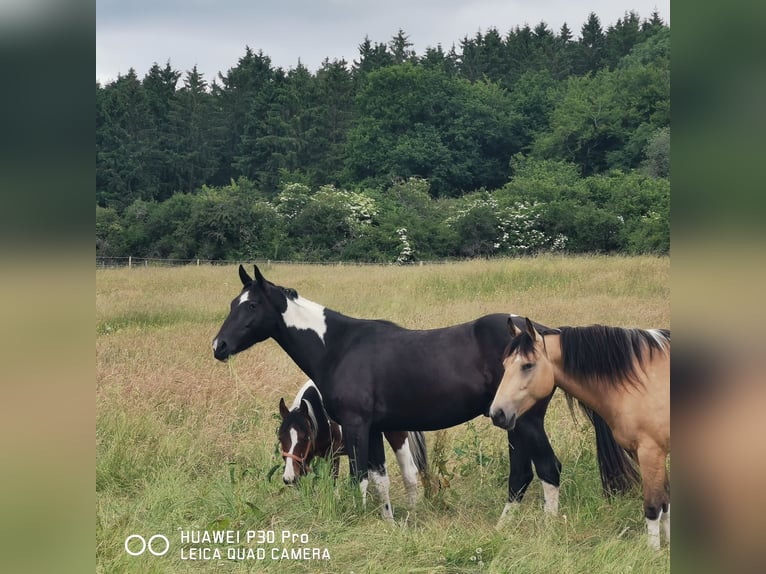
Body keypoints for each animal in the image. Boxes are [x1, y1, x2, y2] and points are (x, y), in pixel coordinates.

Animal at [278, 379, 427, 519]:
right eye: (280, 438)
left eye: (305, 437)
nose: (288, 478)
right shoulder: (306, 459)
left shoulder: (332, 454)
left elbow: (333, 483)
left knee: (409, 472)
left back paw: (411, 513)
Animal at [489, 317, 670, 548]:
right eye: (504, 365)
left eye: (527, 365)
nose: (497, 414)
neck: (643, 379)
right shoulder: (645, 454)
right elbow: (666, 505)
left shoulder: (651, 452)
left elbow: (653, 507)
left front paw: (653, 551)